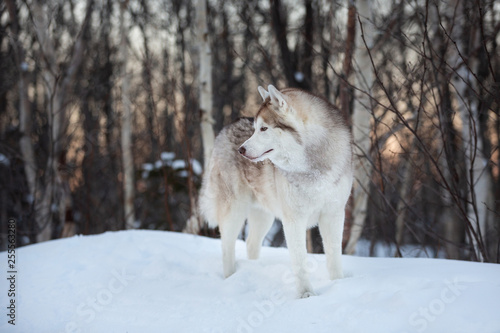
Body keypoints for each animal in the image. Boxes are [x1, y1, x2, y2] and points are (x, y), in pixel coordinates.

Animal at [197, 84, 354, 296]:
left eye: (263, 128)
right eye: (255, 129)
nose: (241, 150)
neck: (314, 167)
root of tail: (226, 128)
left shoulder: (333, 214)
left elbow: (334, 256)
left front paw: (338, 285)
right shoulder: (293, 219)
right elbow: (300, 262)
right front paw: (306, 295)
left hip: (264, 216)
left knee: (251, 244)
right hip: (235, 212)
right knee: (227, 247)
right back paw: (231, 279)